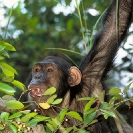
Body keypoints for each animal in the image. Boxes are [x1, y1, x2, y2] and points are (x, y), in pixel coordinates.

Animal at [27, 0, 133, 132]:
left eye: (49, 70)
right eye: (37, 70)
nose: (37, 77)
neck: (64, 104)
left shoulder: (92, 75)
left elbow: (115, 25)